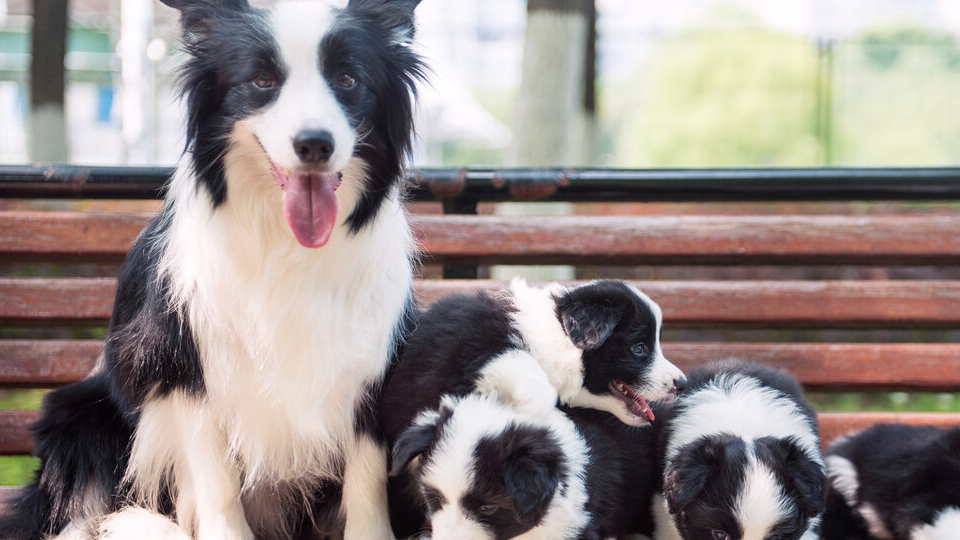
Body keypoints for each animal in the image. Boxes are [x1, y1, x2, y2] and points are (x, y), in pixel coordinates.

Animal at [0, 1, 420, 540]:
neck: (285, 245)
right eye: (262, 80)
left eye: (348, 79)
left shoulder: (370, 366)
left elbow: (366, 482)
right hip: (79, 416)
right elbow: (217, 483)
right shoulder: (183, 368)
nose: (315, 144)